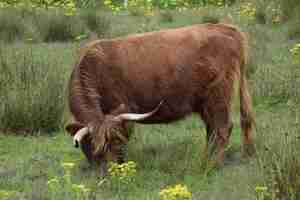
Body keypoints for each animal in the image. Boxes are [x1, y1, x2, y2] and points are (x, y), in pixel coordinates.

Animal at [65, 22, 255, 174]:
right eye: (98, 149)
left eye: (115, 142)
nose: (111, 172)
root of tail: (226, 28)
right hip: (205, 102)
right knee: (213, 129)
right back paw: (206, 158)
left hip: (218, 95)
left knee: (222, 128)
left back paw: (213, 165)